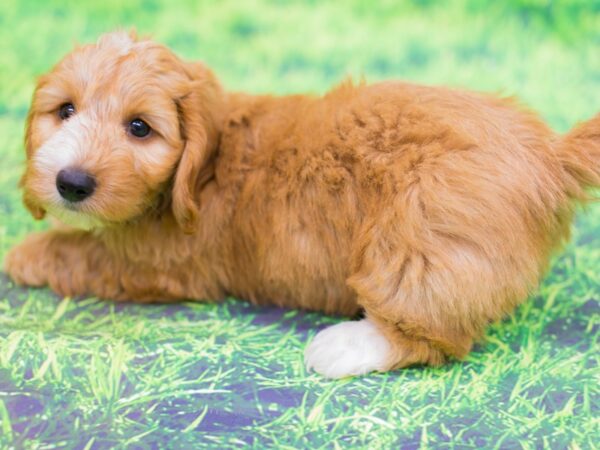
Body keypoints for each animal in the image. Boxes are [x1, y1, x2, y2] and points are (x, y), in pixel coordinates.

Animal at [5, 29, 600, 378]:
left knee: (435, 336)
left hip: (420, 241)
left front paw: (24, 253)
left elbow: (78, 251)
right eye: (64, 111)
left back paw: (344, 346)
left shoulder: (152, 263)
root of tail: (550, 152)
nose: (71, 183)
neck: (204, 167)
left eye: (139, 128)